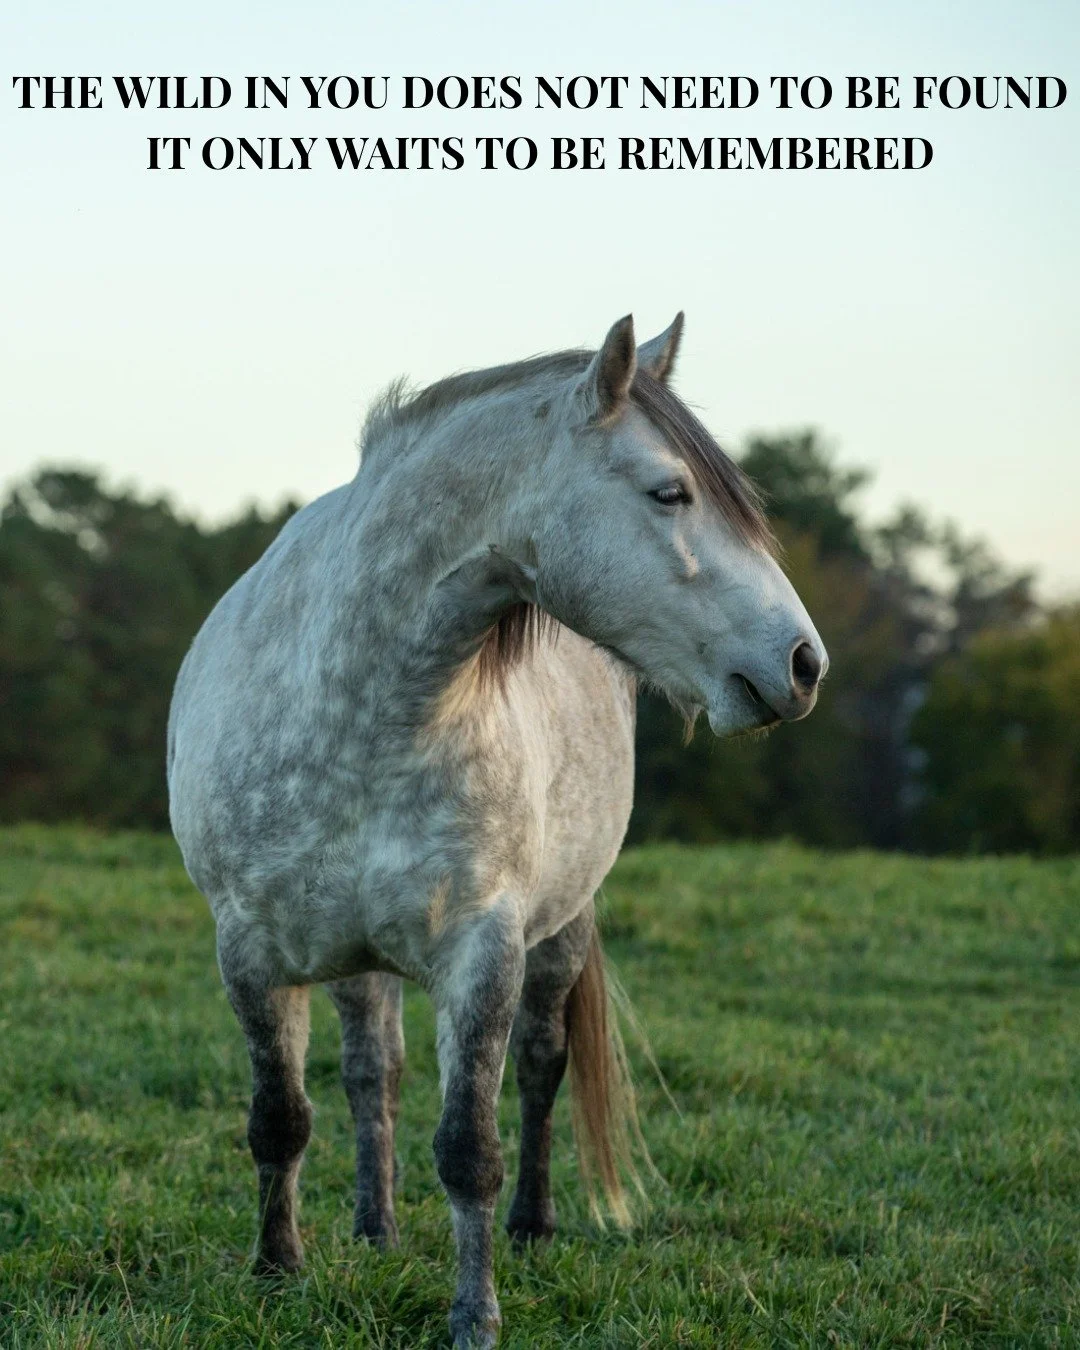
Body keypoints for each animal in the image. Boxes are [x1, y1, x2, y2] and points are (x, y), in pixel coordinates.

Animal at [167, 312, 827, 1346]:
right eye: (669, 491)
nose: (802, 663)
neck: (365, 707)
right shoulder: (251, 950)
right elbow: (281, 1117)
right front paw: (276, 1273)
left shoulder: (484, 947)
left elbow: (470, 1145)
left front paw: (475, 1314)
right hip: (353, 959)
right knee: (371, 1074)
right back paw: (374, 1228)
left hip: (559, 929)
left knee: (540, 1069)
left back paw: (529, 1229)